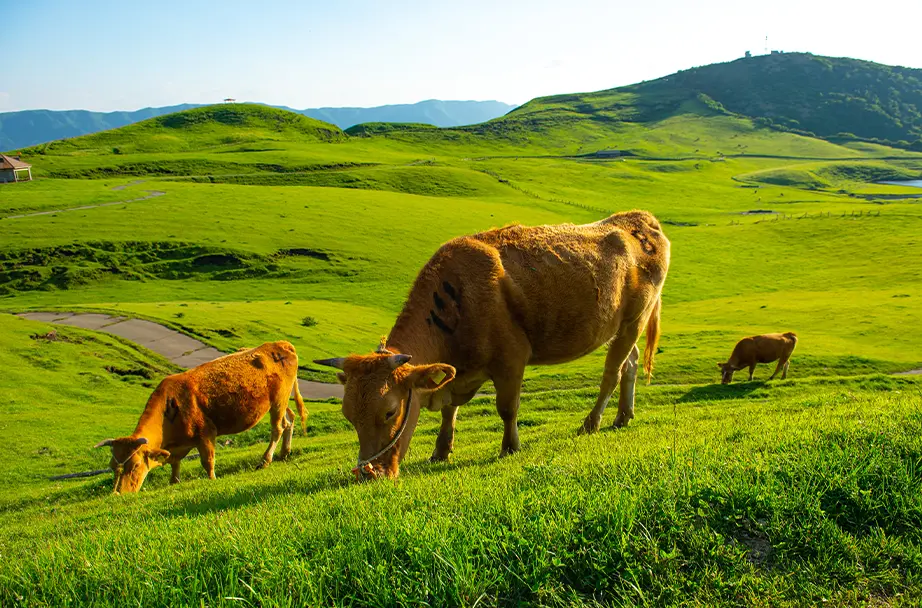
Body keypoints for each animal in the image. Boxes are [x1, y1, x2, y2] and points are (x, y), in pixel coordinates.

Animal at [95, 342, 308, 494]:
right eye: (112, 467)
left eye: (135, 466)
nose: (119, 494)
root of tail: (280, 344)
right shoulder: (178, 446)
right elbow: (174, 463)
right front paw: (174, 482)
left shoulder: (205, 433)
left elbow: (207, 461)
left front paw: (212, 479)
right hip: (281, 400)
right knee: (289, 419)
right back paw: (284, 453)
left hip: (278, 399)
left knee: (278, 428)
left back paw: (265, 460)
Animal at [316, 211, 668, 482]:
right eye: (348, 415)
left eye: (390, 412)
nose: (368, 474)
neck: (454, 300)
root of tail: (638, 218)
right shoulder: (457, 372)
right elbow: (449, 410)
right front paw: (440, 450)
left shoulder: (510, 359)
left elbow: (507, 408)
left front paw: (509, 447)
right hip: (622, 326)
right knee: (630, 363)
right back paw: (623, 416)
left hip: (636, 318)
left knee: (612, 372)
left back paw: (591, 423)